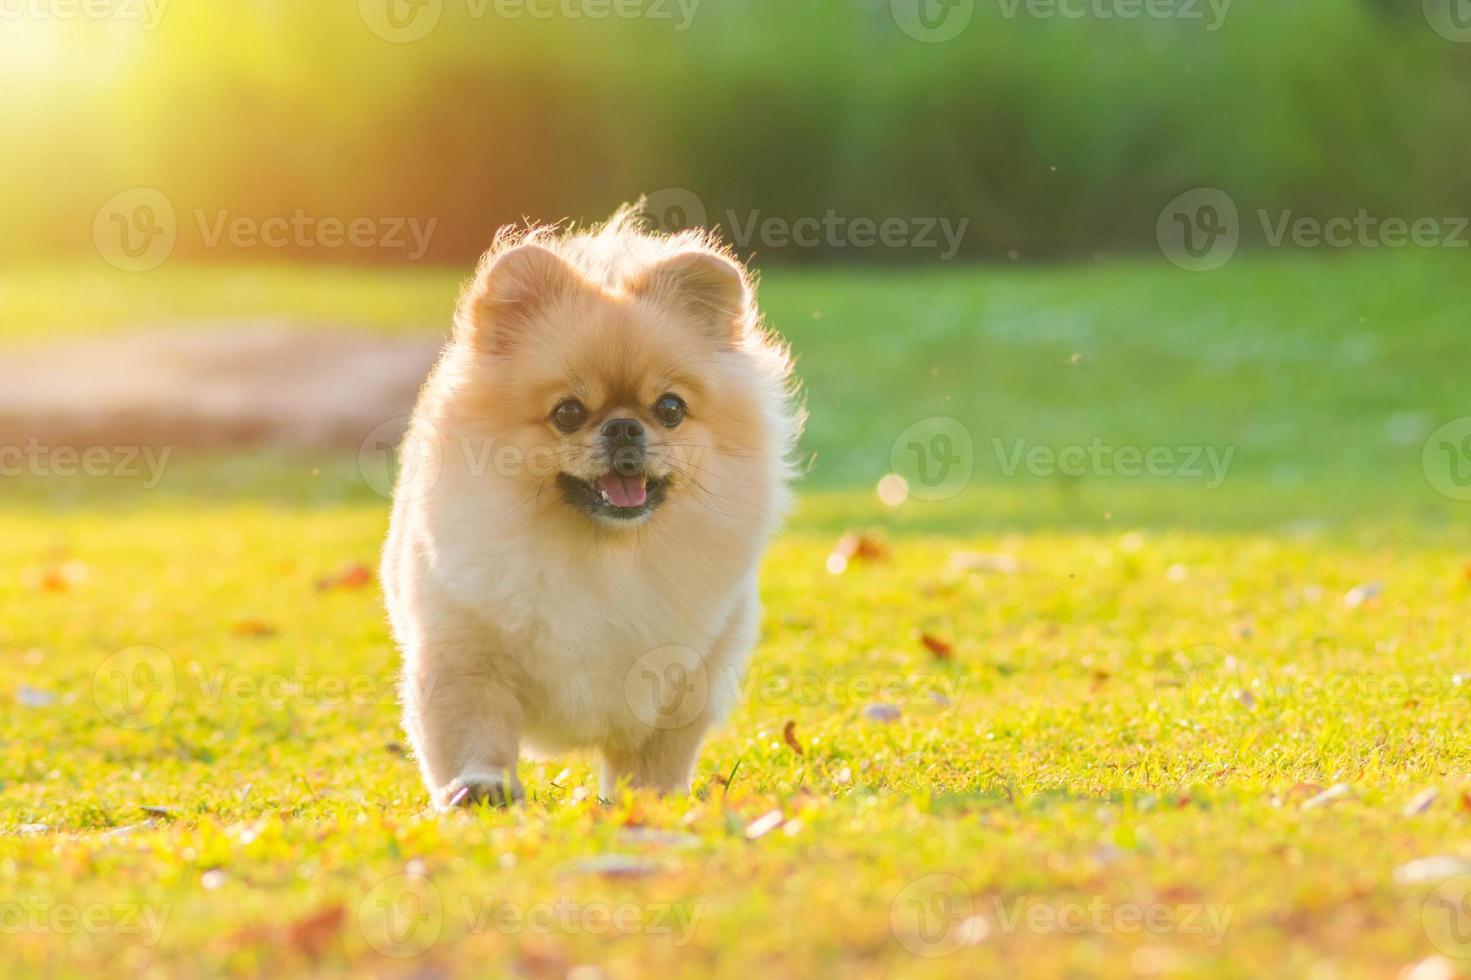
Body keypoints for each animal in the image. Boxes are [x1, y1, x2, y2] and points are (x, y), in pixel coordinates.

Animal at [379, 201, 806, 806]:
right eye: (568, 413)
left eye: (670, 409)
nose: (624, 427)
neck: (601, 558)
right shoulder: (461, 654)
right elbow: (472, 731)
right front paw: (482, 785)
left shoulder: (684, 677)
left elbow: (656, 754)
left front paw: (649, 801)